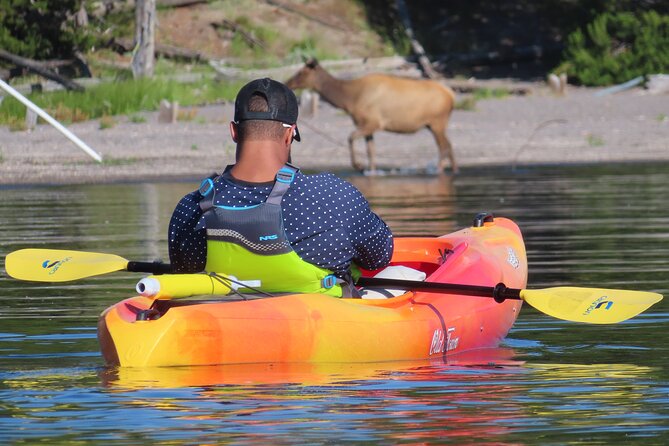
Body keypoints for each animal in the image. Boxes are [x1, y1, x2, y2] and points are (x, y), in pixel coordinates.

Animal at [284, 58, 456, 172]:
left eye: (301, 72)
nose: (288, 82)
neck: (350, 100)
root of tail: (451, 96)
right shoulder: (366, 126)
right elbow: (370, 151)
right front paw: (371, 170)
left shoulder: (373, 123)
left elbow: (351, 137)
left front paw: (358, 165)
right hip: (435, 124)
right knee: (449, 145)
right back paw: (453, 169)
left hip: (437, 122)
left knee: (444, 147)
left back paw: (439, 168)